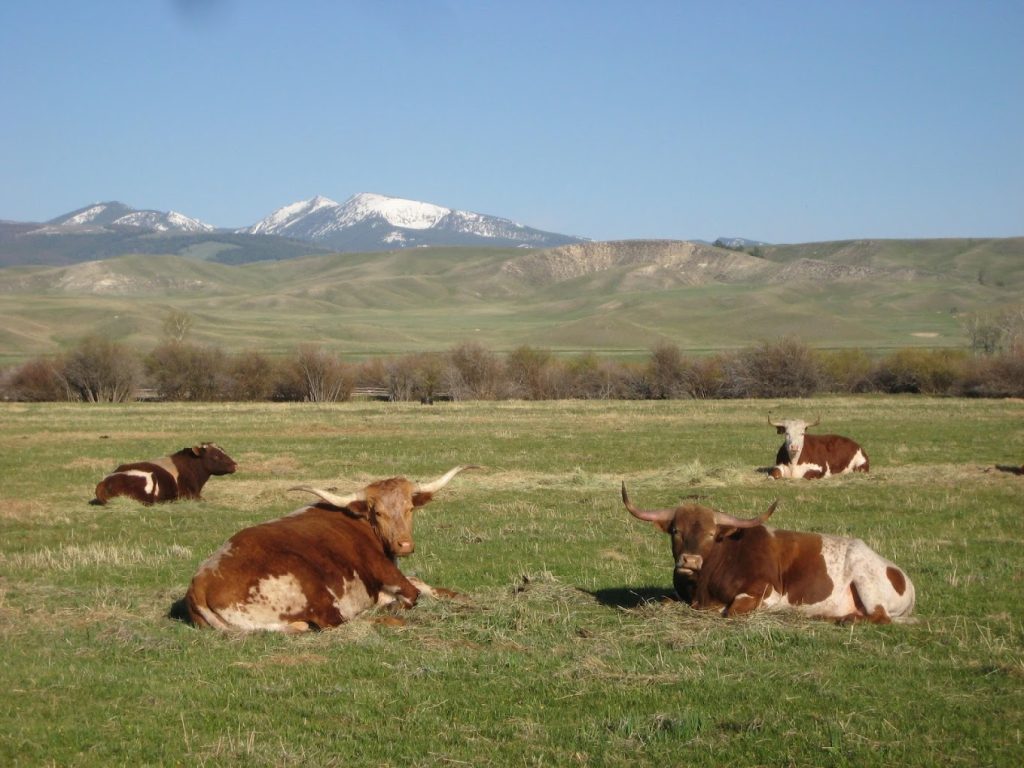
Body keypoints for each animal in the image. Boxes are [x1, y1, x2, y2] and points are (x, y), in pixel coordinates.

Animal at [185, 466, 479, 634]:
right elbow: (412, 591)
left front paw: (459, 597)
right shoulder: (383, 570)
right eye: (378, 512)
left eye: (409, 509)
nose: (404, 544)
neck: (363, 523)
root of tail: (199, 584)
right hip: (309, 585)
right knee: (335, 621)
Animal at [618, 487, 917, 626]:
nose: (689, 561)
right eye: (676, 531)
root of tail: (905, 579)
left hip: (865, 579)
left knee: (879, 616)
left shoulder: (765, 592)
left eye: (712, 533)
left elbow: (730, 610)